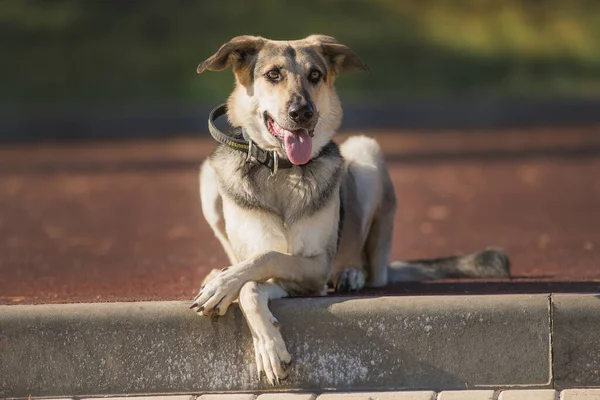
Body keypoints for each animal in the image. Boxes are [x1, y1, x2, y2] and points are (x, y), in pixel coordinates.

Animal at [190, 36, 508, 386]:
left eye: (315, 75)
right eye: (273, 74)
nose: (302, 113)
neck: (283, 169)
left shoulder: (316, 269)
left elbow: (264, 262)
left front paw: (236, 300)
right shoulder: (287, 270)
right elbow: (251, 275)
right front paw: (258, 330)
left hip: (364, 152)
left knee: (366, 265)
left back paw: (350, 272)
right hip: (207, 180)